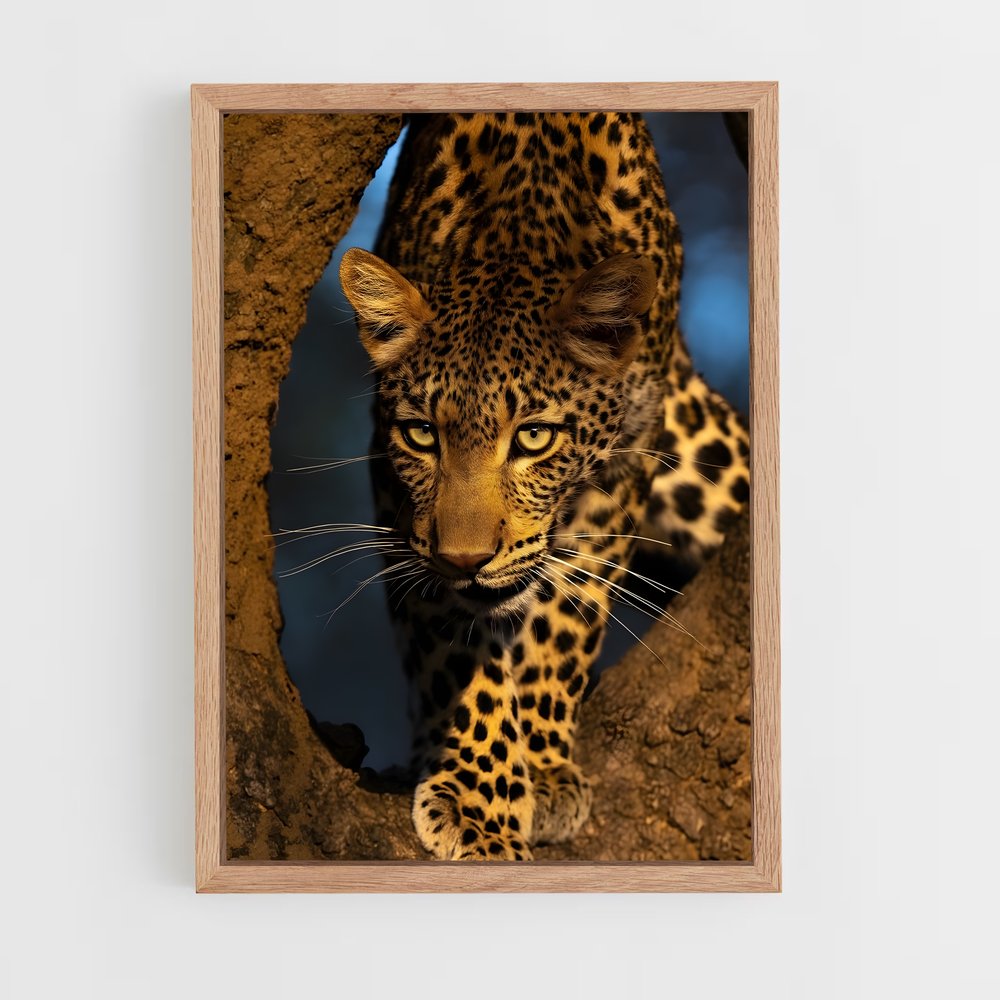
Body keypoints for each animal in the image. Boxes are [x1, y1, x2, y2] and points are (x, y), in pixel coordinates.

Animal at [339, 112, 749, 861]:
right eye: (423, 435)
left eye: (533, 439)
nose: (465, 560)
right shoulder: (396, 490)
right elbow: (454, 645)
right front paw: (476, 798)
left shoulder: (624, 462)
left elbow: (570, 607)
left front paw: (544, 765)